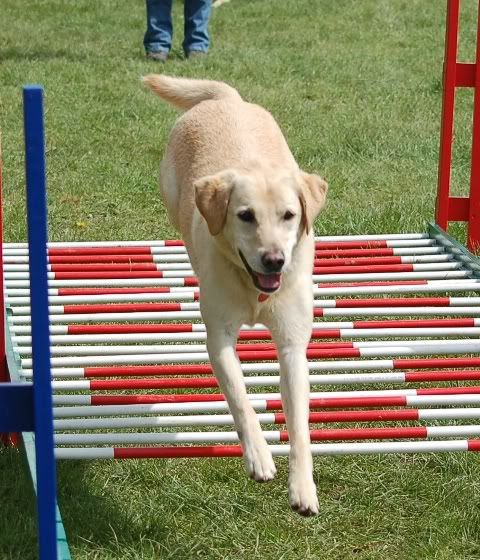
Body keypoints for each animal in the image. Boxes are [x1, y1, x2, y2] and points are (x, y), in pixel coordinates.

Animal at [143, 75, 327, 515]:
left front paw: (303, 488)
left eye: (289, 215)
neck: (254, 289)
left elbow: (298, 424)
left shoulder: (292, 345)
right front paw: (259, 456)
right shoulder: (219, 338)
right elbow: (241, 398)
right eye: (245, 216)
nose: (274, 260)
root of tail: (227, 98)